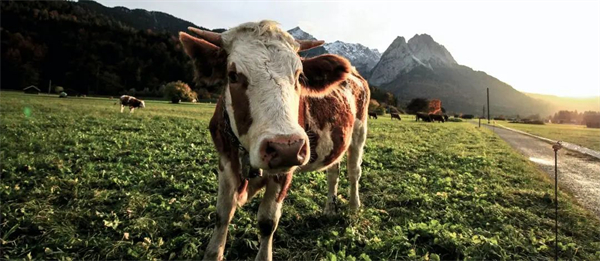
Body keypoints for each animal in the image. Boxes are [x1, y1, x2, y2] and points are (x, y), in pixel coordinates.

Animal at [178, 20, 368, 260]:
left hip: (359, 132)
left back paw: (353, 207)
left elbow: (267, 221)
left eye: (299, 76)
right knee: (333, 172)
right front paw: (214, 252)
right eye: (233, 75)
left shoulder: (284, 169)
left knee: (354, 172)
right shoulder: (225, 160)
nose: (286, 147)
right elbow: (222, 213)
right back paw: (329, 209)